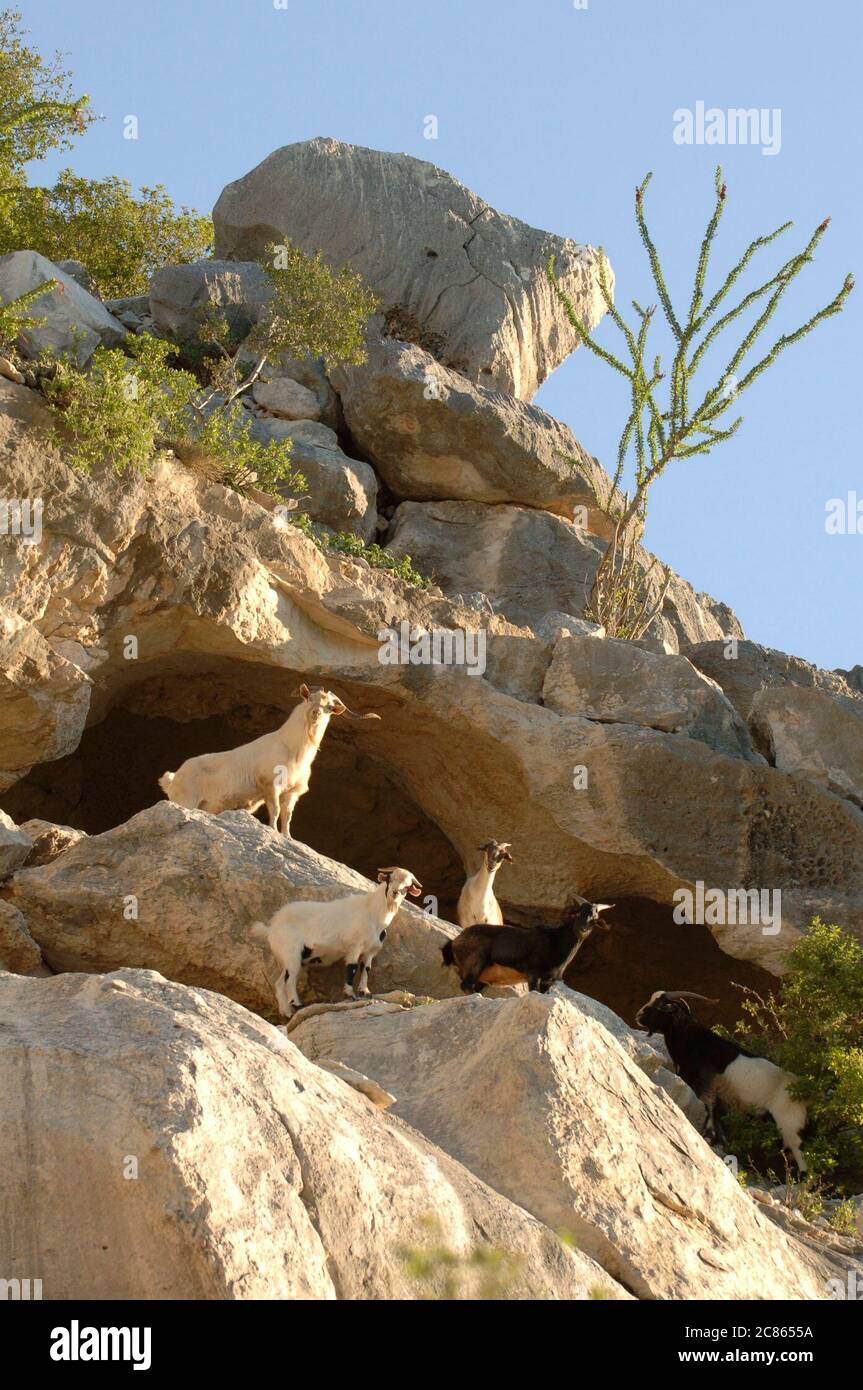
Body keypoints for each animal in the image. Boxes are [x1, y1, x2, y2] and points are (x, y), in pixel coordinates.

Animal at [159, 685, 380, 838]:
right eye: (309, 698)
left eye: (330, 707)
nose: (316, 713)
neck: (292, 750)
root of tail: (173, 778)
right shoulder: (270, 786)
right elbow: (275, 811)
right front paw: (273, 831)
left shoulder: (291, 793)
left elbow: (287, 815)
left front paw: (288, 837)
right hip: (186, 800)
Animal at [251, 866, 422, 1016]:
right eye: (389, 879)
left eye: (407, 887)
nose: (394, 893)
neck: (373, 913)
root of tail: (271, 928)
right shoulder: (355, 947)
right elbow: (352, 968)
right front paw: (350, 994)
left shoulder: (370, 951)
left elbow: (366, 969)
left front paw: (365, 992)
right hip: (291, 953)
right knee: (290, 979)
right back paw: (297, 1004)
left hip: (290, 958)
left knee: (280, 983)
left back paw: (286, 1012)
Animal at [442, 900, 613, 994]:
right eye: (578, 913)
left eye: (594, 919)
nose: (581, 929)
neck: (556, 943)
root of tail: (455, 941)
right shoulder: (533, 973)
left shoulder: (549, 981)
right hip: (476, 962)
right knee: (466, 986)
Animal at [635, 990, 808, 1173]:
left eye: (661, 1006)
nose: (638, 1016)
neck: (696, 1042)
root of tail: (802, 1091)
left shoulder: (706, 1086)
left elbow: (709, 1112)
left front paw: (707, 1138)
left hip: (790, 1125)